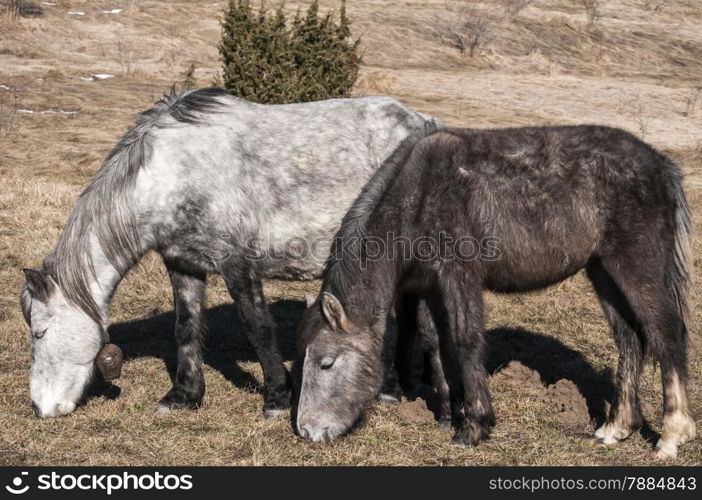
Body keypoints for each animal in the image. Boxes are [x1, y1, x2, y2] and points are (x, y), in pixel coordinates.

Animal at [294, 125, 696, 458]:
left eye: (327, 362)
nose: (307, 431)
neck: (419, 195)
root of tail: (662, 166)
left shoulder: (459, 277)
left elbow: (464, 341)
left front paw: (474, 427)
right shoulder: (429, 287)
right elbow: (435, 343)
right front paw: (448, 413)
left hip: (636, 267)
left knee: (666, 334)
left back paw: (671, 436)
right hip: (603, 272)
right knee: (630, 341)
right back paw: (615, 428)